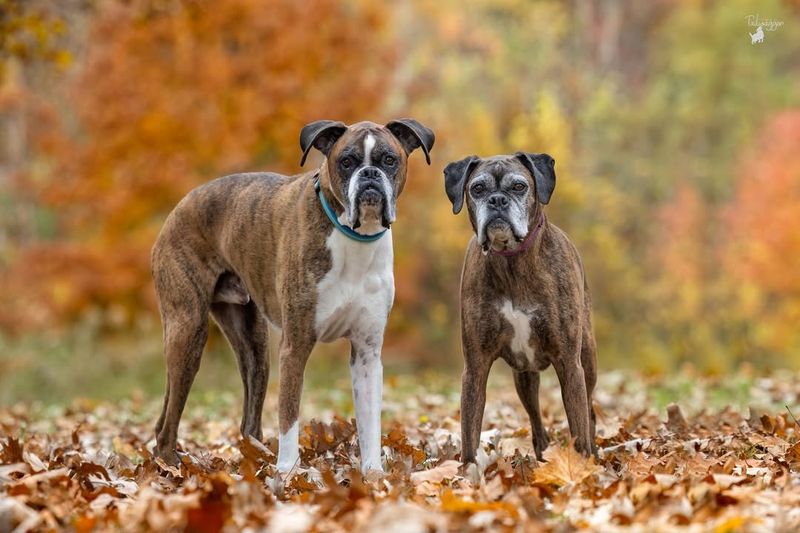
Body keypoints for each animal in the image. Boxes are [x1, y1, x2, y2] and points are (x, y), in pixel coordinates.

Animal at [153, 118, 434, 472]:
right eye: (346, 162)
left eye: (388, 160)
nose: (369, 175)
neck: (354, 238)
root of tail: (179, 207)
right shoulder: (295, 347)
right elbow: (289, 420)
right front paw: (287, 473)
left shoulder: (367, 354)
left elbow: (370, 422)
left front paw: (373, 473)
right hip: (188, 332)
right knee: (169, 423)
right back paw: (171, 465)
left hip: (254, 348)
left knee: (248, 419)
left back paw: (256, 456)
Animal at [446, 152, 596, 464]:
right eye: (477, 189)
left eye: (519, 186)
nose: (497, 200)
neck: (510, 261)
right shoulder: (475, 368)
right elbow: (469, 433)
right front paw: (467, 473)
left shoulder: (569, 364)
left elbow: (579, 428)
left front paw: (581, 468)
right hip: (524, 377)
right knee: (537, 421)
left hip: (587, 360)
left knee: (589, 411)